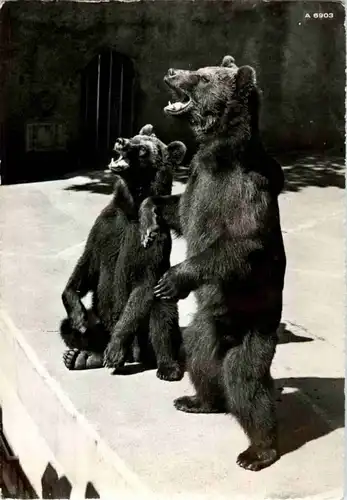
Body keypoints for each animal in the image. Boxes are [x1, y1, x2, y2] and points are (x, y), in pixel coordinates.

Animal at [140, 56, 286, 470]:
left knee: (246, 380)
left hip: (256, 326)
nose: (171, 71)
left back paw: (257, 450)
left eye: (202, 77)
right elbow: (176, 210)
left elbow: (241, 244)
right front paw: (149, 218)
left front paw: (171, 279)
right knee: (200, 357)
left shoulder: (246, 188)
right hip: (207, 324)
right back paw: (196, 400)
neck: (220, 155)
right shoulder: (198, 182)